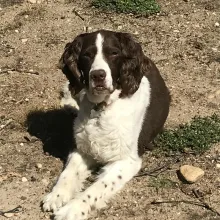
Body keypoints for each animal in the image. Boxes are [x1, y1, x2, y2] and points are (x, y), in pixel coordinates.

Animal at [42, 29, 171, 220]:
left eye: (114, 53)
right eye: (87, 55)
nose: (98, 75)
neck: (101, 108)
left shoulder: (127, 161)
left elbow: (95, 188)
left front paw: (72, 209)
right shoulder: (82, 149)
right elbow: (68, 173)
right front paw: (57, 195)